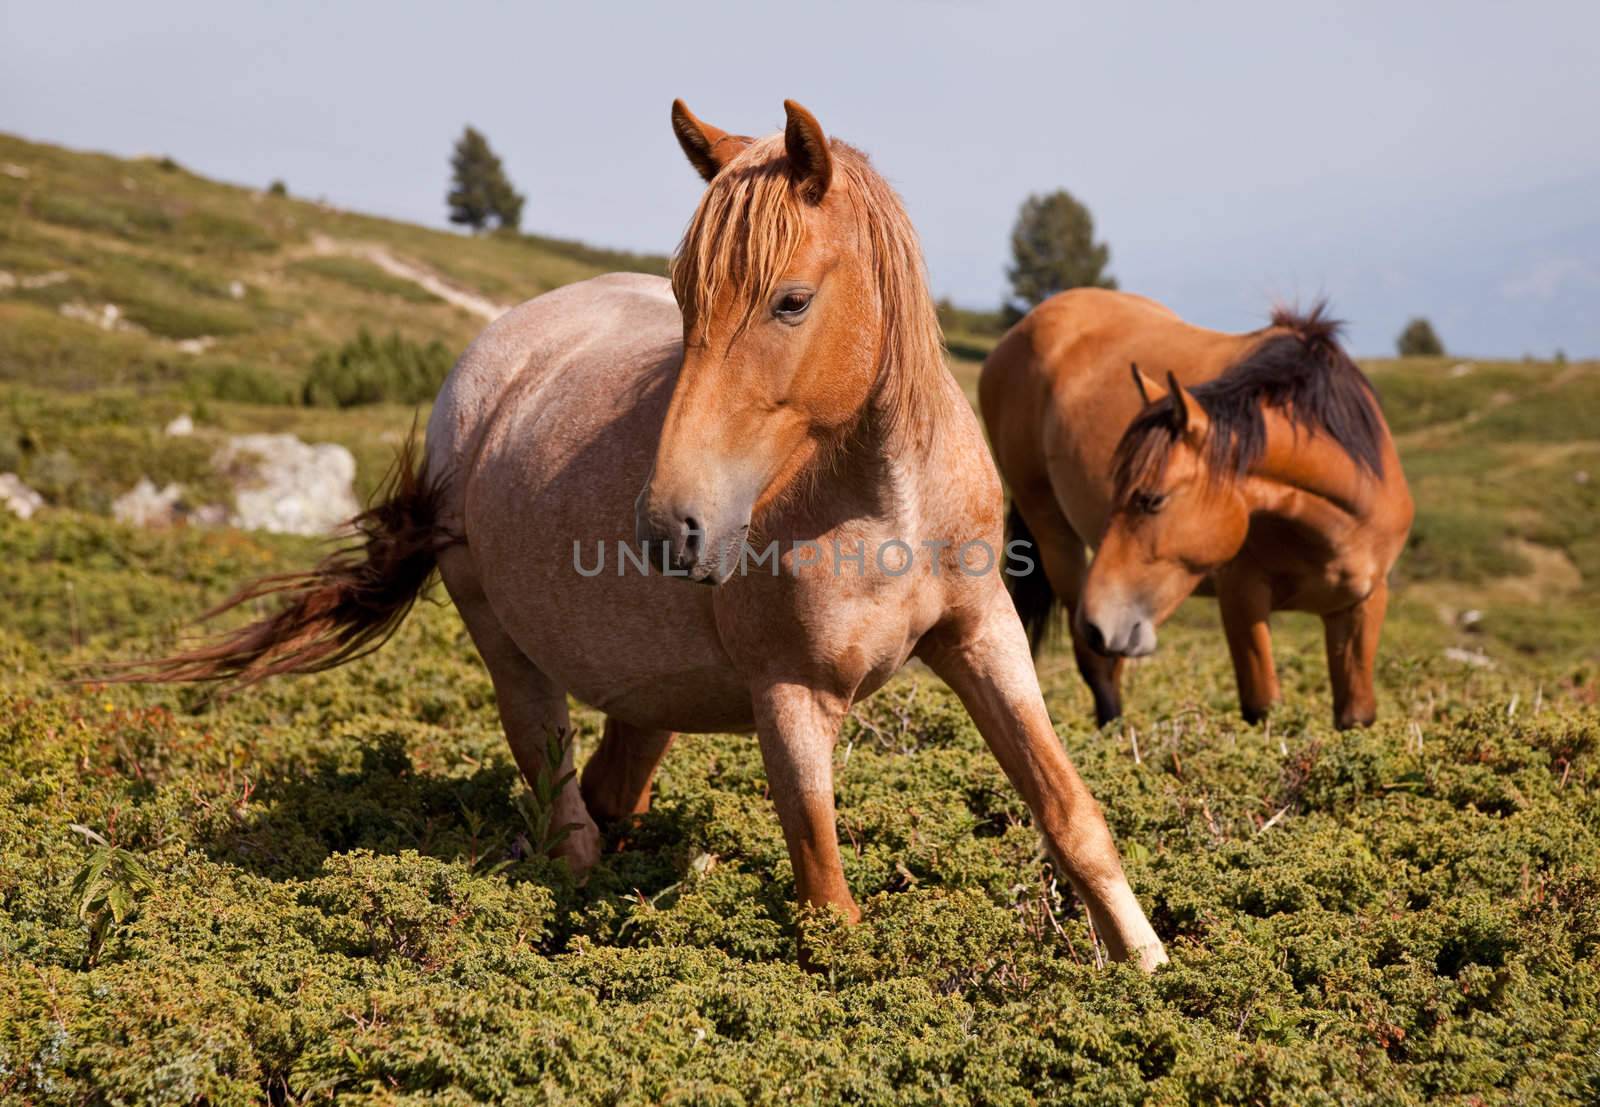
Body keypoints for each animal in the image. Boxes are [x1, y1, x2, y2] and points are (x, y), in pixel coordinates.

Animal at [121, 105, 1164, 966]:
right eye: (684, 298)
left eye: (791, 300)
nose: (671, 526)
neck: (880, 508)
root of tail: (489, 360)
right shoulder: (790, 698)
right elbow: (827, 895)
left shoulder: (983, 635)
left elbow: (1071, 811)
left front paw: (1147, 966)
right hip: (509, 651)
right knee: (565, 810)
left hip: (650, 692)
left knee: (609, 790)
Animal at [972, 289, 1414, 729]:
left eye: (1152, 499)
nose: (1097, 621)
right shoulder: (1241, 595)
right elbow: (1262, 707)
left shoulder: (1361, 604)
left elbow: (1355, 716)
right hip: (1057, 542)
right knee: (1098, 666)